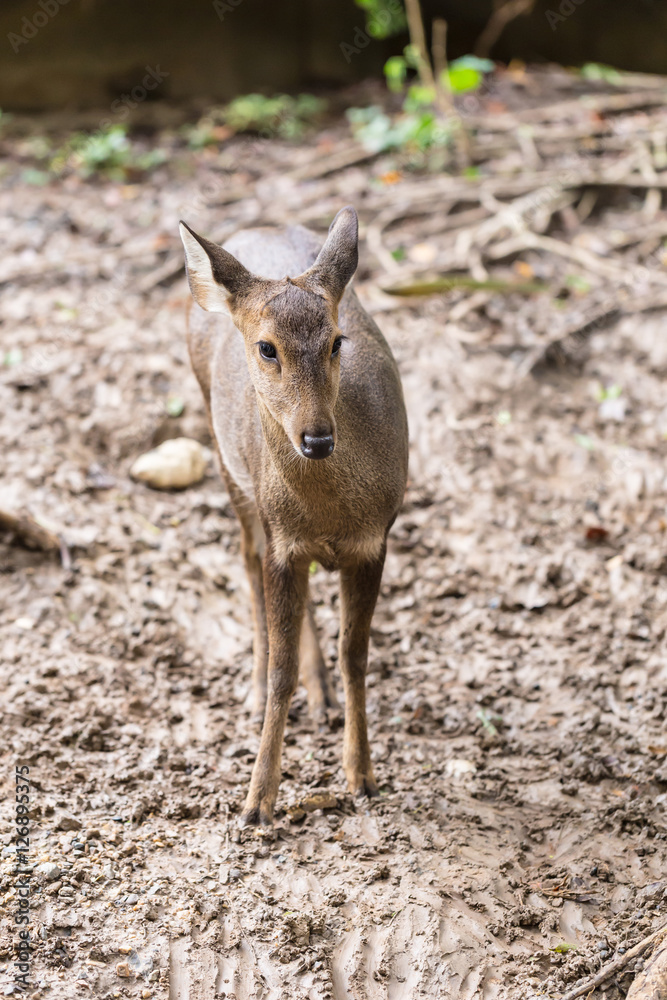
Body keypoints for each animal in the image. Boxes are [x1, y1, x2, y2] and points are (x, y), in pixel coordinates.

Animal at [177, 205, 408, 828]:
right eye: (266, 348)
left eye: (335, 342)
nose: (317, 438)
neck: (329, 513)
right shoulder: (282, 540)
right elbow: (282, 669)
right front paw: (257, 802)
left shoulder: (374, 542)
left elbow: (356, 655)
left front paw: (362, 776)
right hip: (230, 468)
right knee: (247, 560)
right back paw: (254, 688)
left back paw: (322, 695)